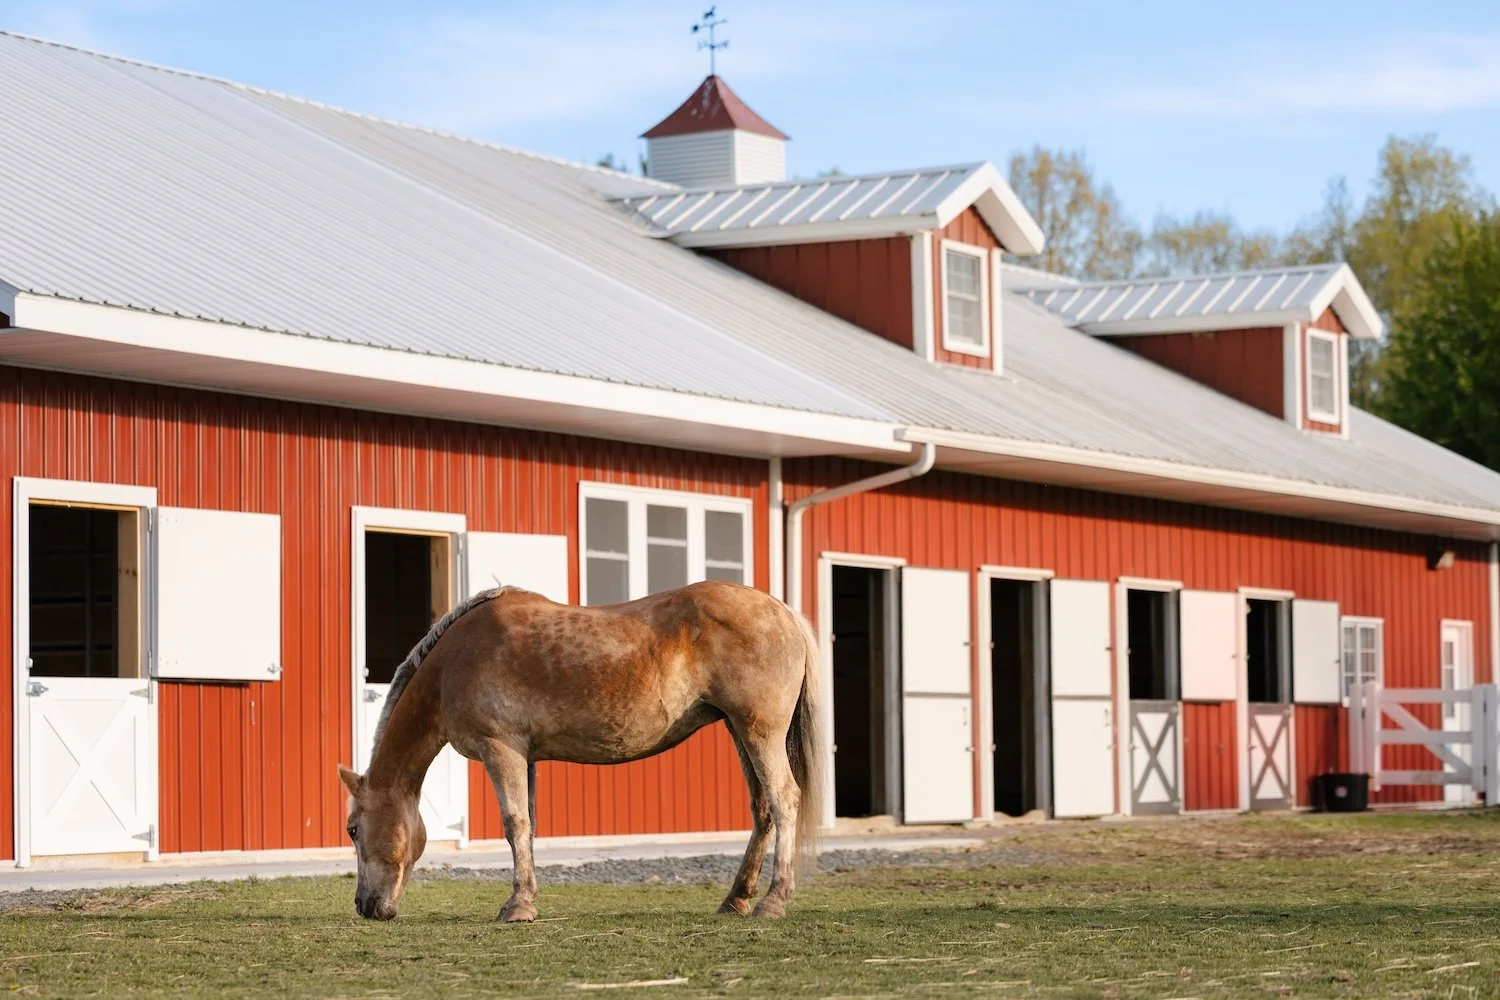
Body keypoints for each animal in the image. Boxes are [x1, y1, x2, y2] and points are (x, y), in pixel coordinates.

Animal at [337, 580, 825, 923]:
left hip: (760, 733)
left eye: (353, 830)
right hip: (740, 732)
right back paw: (736, 899)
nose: (365, 905)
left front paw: (517, 907)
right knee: (762, 809)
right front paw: (527, 900)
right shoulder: (525, 757)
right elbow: (528, 826)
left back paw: (773, 901)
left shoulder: (501, 749)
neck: (454, 662)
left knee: (784, 801)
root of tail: (783, 611)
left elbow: (514, 824)